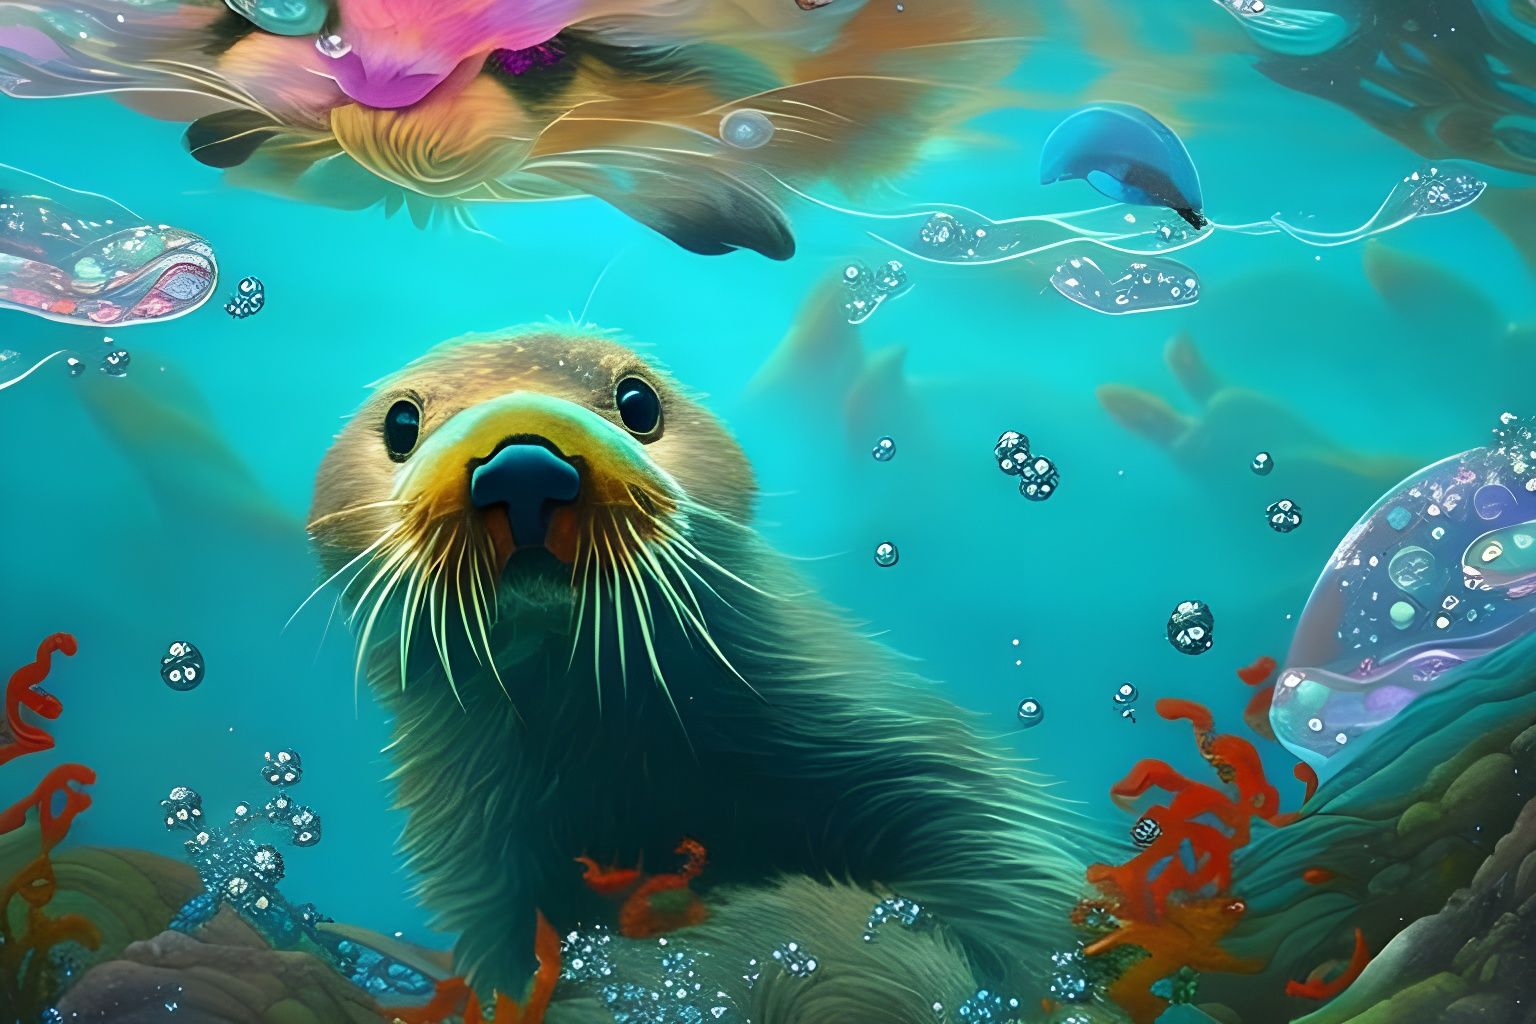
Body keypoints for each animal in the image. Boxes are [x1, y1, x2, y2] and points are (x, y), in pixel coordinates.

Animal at [308, 327, 1093, 1020]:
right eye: (402, 422)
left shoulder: (932, 765)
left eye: (638, 402)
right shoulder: (486, 883)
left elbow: (1020, 922)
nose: (522, 466)